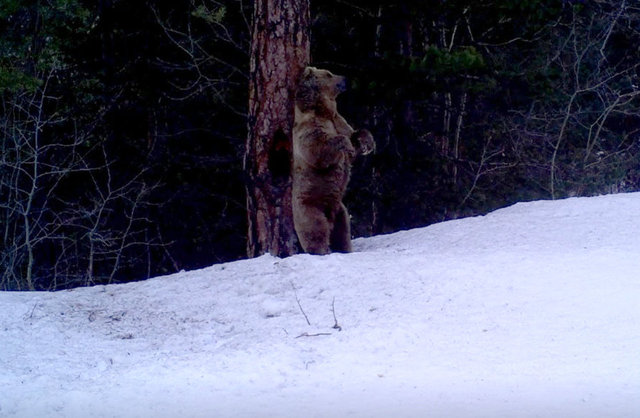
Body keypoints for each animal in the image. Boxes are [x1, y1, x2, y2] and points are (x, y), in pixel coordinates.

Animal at [292, 66, 375, 255]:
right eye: (329, 74)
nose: (345, 78)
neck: (324, 110)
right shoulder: (309, 129)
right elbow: (318, 149)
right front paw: (346, 146)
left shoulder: (339, 120)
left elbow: (353, 134)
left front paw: (367, 144)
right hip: (309, 205)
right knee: (315, 229)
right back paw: (322, 250)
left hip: (339, 209)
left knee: (342, 230)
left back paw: (344, 249)